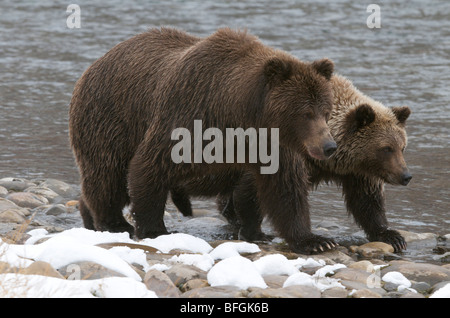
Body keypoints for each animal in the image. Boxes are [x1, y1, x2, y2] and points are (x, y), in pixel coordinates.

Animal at [69, 27, 338, 251]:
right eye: (305, 113)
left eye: (326, 111)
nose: (329, 146)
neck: (239, 114)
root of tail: (93, 66)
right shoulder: (190, 116)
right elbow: (149, 167)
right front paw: (155, 230)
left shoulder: (271, 145)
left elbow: (285, 190)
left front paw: (316, 241)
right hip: (109, 119)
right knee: (108, 176)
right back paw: (113, 223)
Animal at [171, 74, 412, 253]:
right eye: (386, 148)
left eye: (402, 146)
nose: (406, 176)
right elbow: (268, 193)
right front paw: (314, 241)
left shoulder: (356, 172)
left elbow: (366, 201)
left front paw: (392, 235)